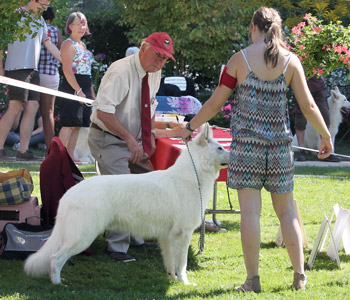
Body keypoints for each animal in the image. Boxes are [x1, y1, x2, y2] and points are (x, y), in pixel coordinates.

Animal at [25, 123, 232, 286]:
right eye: (220, 149)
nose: (235, 156)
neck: (193, 174)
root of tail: (68, 194)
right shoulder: (183, 234)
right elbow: (182, 264)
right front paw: (185, 283)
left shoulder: (168, 237)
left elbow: (171, 263)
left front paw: (173, 280)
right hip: (83, 236)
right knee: (55, 258)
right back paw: (58, 284)